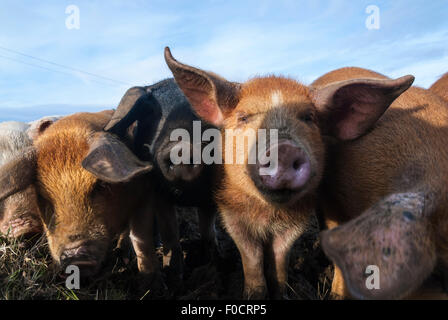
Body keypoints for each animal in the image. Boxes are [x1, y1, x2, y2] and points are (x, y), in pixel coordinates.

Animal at [0, 110, 161, 284]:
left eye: (101, 185)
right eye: (43, 195)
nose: (76, 258)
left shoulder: (146, 192)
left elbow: (141, 239)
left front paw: (148, 282)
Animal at [164, 48, 412, 300]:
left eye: (308, 118)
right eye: (243, 117)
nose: (283, 148)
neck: (267, 213)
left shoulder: (298, 219)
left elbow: (279, 258)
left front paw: (282, 293)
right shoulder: (232, 214)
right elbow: (251, 259)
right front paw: (253, 295)